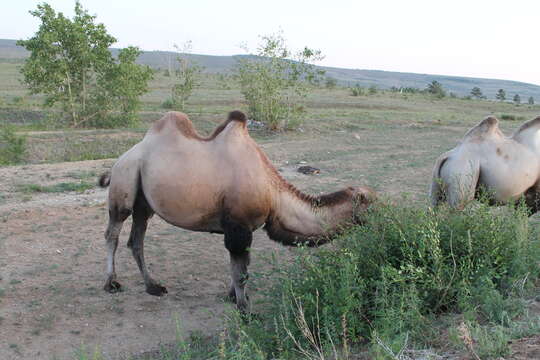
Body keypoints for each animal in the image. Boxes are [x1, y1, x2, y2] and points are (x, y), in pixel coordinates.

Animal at [98, 111, 376, 310]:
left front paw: (234, 298)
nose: (384, 220)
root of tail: (121, 159)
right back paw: (111, 283)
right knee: (113, 233)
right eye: (373, 205)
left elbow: (243, 266)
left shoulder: (246, 228)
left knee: (136, 240)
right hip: (124, 183)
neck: (272, 192)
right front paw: (245, 311)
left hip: (144, 203)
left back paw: (154, 287)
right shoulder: (238, 226)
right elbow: (241, 272)